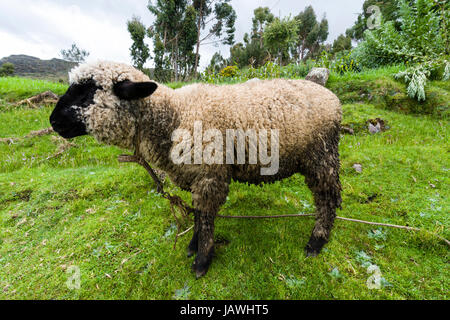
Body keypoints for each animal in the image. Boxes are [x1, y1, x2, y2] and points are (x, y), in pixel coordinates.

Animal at [49, 60, 342, 278]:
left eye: (88, 91)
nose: (53, 121)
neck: (175, 115)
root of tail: (332, 98)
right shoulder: (196, 175)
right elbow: (198, 214)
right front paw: (193, 245)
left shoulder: (210, 175)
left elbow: (206, 218)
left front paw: (202, 260)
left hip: (321, 154)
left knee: (328, 197)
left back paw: (316, 242)